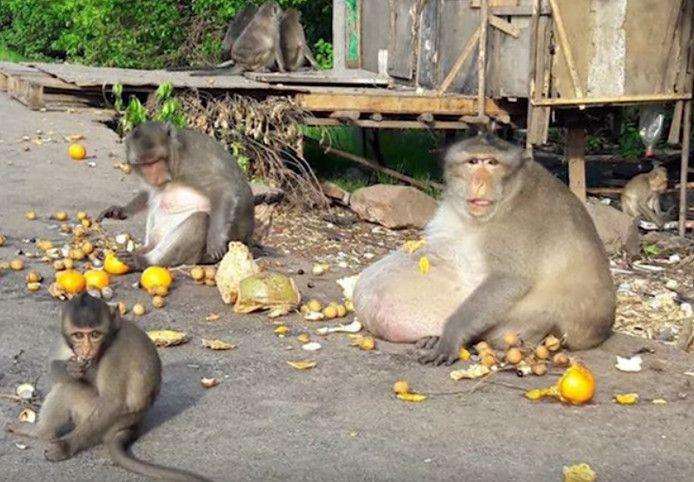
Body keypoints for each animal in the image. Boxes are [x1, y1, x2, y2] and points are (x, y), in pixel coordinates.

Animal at [6, 293, 208, 481]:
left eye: (95, 334)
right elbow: (54, 367)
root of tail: (131, 427)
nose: (87, 350)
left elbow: (113, 402)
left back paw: (40, 433)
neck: (112, 335)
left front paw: (65, 447)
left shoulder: (115, 354)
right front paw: (71, 368)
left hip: (95, 420)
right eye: (78, 335)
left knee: (69, 389)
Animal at [97, 121, 254, 270]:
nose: (154, 176)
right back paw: (146, 249)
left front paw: (215, 242)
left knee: (200, 218)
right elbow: (149, 191)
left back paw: (145, 261)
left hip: (197, 256)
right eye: (145, 164)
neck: (176, 157)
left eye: (156, 161)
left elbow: (222, 189)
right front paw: (121, 210)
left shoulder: (191, 165)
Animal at [352, 133, 616, 365]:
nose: (479, 182)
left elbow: (510, 279)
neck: (508, 196)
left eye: (491, 163)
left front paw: (452, 334)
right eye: (473, 162)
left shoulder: (522, 222)